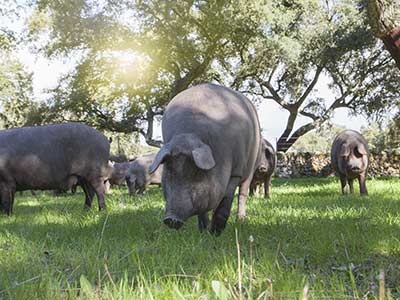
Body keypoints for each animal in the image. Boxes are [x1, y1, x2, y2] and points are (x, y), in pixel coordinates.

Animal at [148, 83, 260, 236]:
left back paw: (240, 220)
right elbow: (202, 210)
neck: (189, 135)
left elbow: (226, 200)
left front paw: (215, 233)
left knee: (243, 193)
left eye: (196, 172)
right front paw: (203, 231)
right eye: (169, 170)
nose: (170, 219)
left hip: (250, 166)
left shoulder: (236, 171)